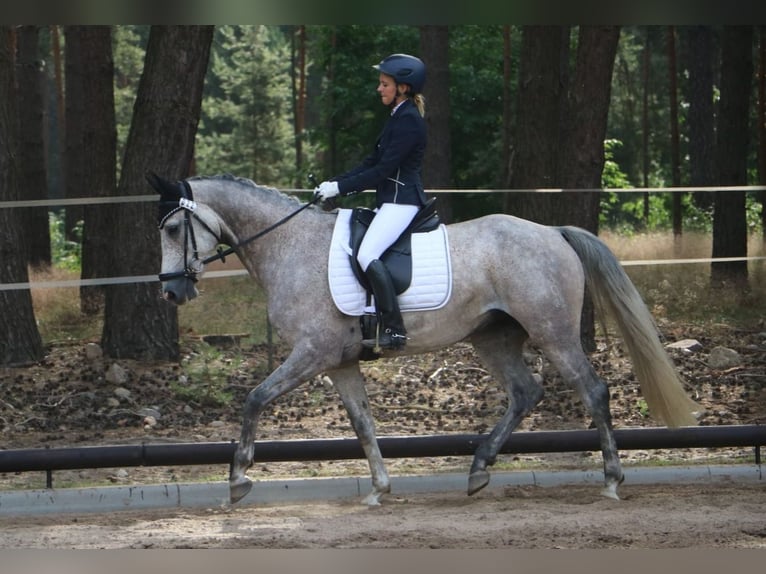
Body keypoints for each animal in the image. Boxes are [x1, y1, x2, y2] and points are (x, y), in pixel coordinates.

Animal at [148, 173, 704, 506]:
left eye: (173, 228)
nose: (172, 291)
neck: (288, 245)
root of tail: (552, 232)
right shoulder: (340, 362)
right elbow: (362, 423)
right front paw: (378, 489)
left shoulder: (312, 353)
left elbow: (254, 399)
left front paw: (239, 479)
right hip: (493, 338)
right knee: (526, 392)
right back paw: (478, 469)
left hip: (554, 332)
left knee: (593, 391)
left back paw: (610, 481)